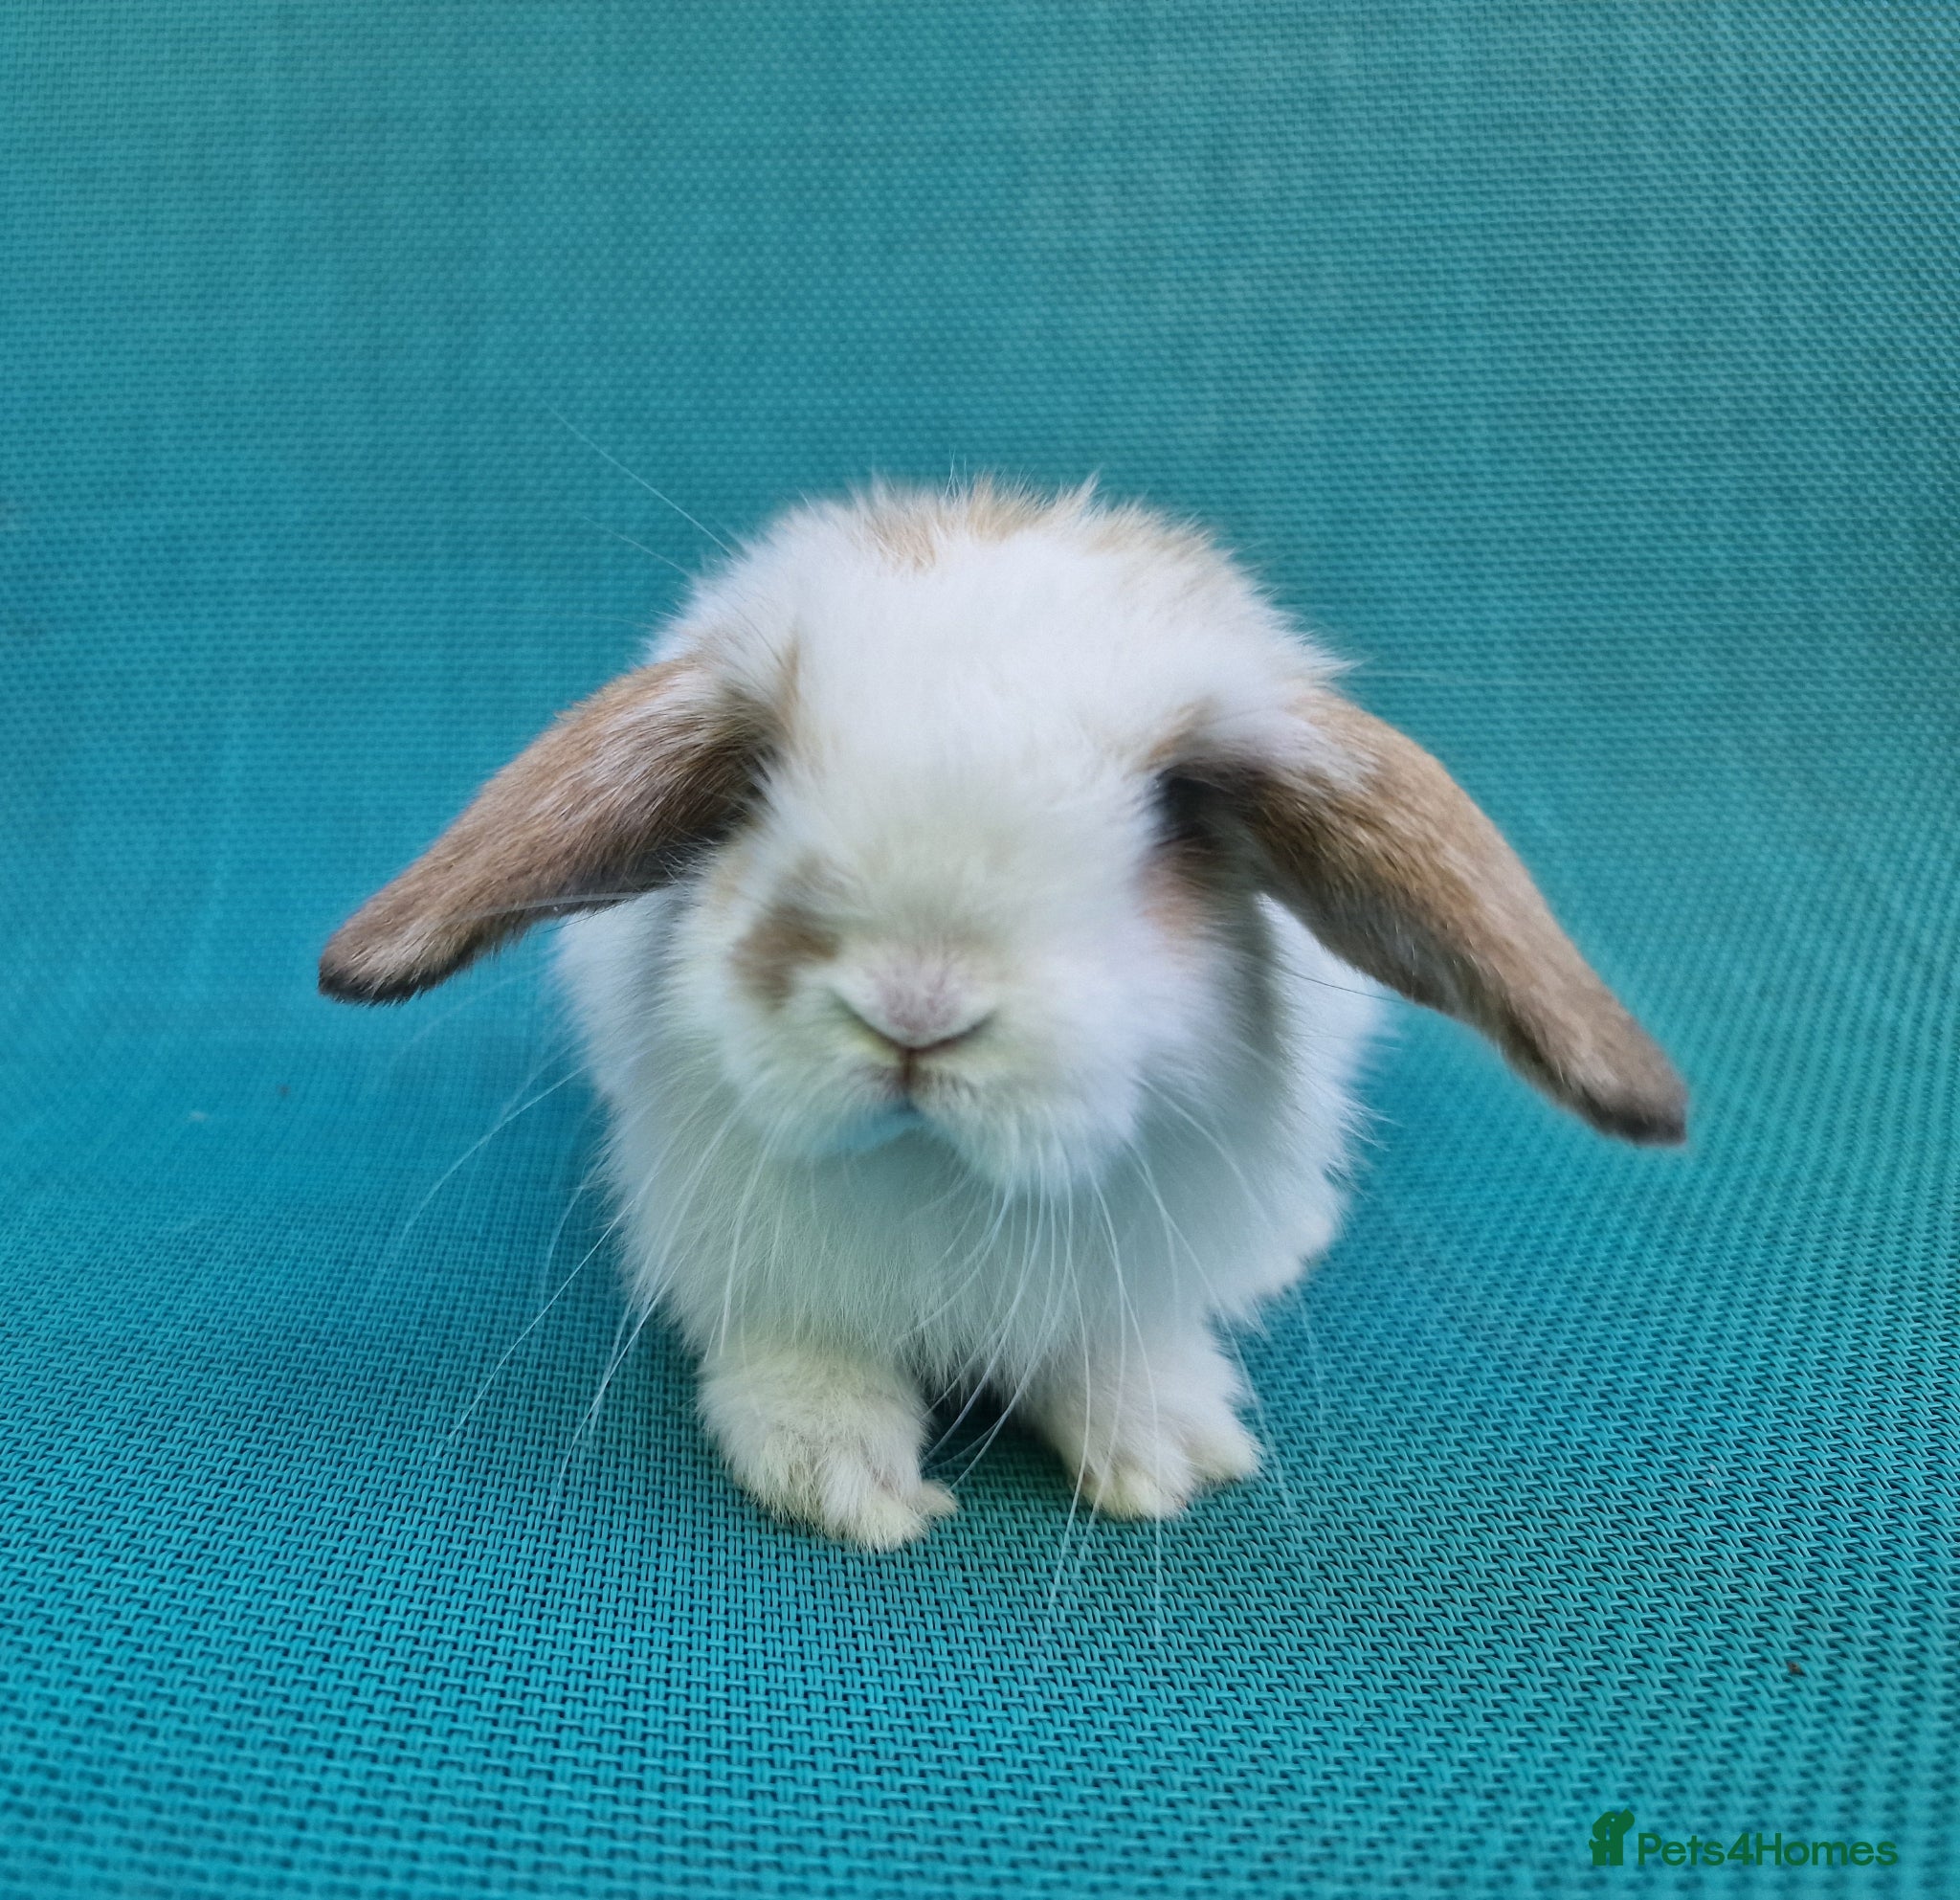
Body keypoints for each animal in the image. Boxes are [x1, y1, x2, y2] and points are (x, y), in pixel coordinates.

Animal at [321, 480, 1686, 1548]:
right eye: (754, 785)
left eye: (1178, 814)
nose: (914, 1010)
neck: (939, 1180)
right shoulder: (761, 1272)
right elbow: (803, 1365)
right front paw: (844, 1485)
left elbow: (1113, 1351)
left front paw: (1166, 1454)